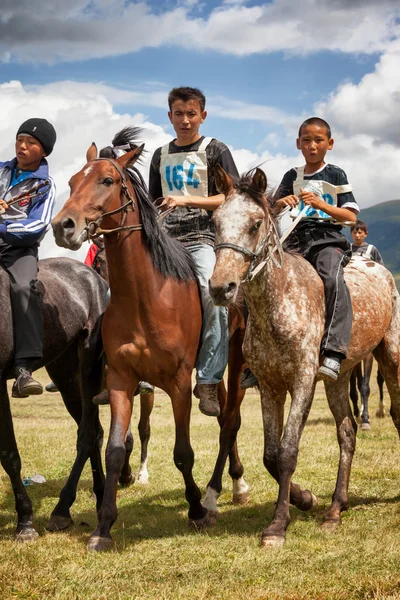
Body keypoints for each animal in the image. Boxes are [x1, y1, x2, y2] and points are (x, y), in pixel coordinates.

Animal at [208, 166, 400, 552]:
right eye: (215, 221)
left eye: (255, 224)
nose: (221, 288)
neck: (279, 302)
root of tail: (380, 269)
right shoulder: (269, 386)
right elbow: (270, 454)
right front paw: (305, 499)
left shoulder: (302, 382)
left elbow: (287, 452)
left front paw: (278, 525)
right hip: (340, 378)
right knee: (347, 432)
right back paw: (335, 509)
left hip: (391, 357)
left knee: (397, 415)